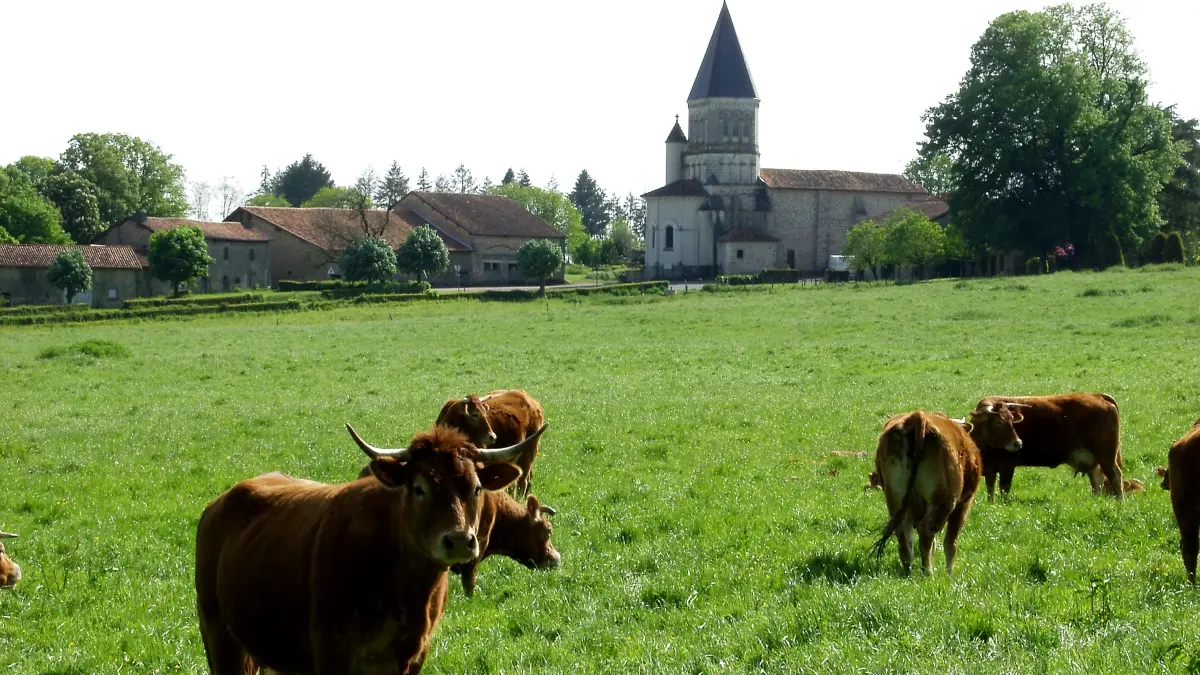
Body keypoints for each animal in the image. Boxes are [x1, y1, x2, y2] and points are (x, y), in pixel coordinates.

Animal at [198, 420, 549, 672]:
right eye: (419, 488)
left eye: (476, 488)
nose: (460, 540)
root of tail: (219, 503)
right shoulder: (331, 654)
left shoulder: (411, 658)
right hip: (219, 638)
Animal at [873, 410, 984, 571]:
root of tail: (917, 416)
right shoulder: (963, 505)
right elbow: (951, 543)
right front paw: (949, 573)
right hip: (943, 502)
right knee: (926, 534)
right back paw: (928, 572)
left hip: (896, 500)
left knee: (904, 535)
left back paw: (908, 571)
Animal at [964, 391, 1123, 497]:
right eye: (999, 422)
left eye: (1012, 421)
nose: (1018, 443)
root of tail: (1097, 395)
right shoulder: (991, 469)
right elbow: (990, 492)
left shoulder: (1008, 466)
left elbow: (1004, 490)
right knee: (1097, 480)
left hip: (1106, 455)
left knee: (1115, 476)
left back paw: (1120, 501)